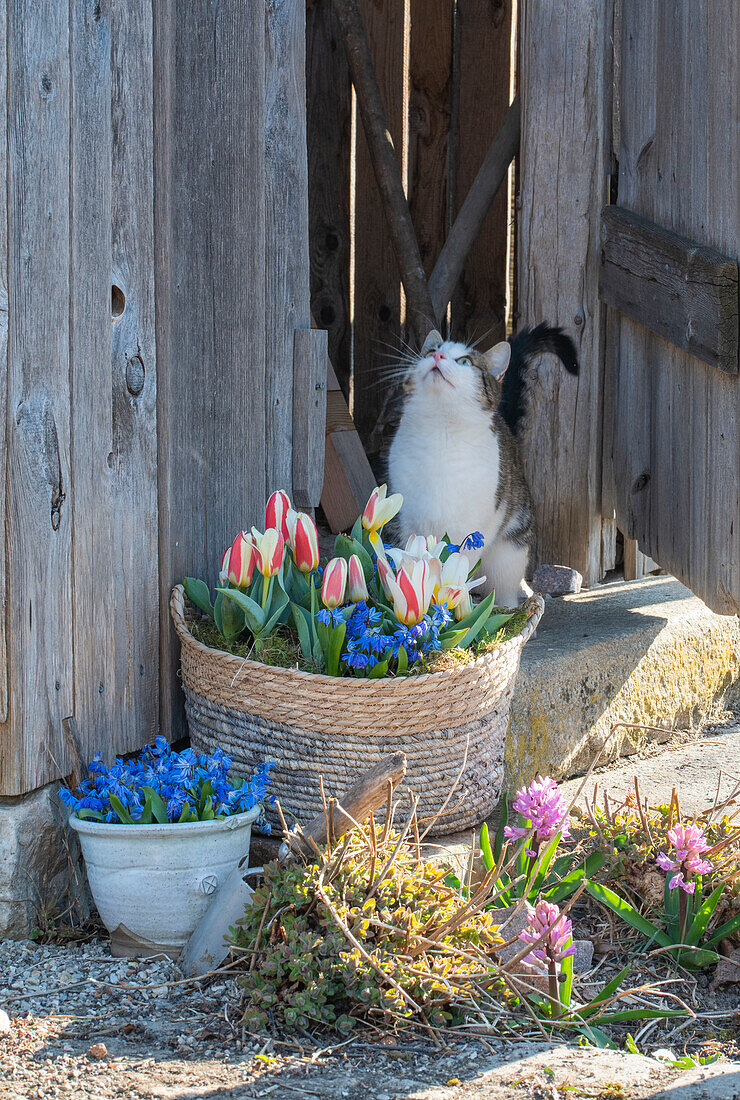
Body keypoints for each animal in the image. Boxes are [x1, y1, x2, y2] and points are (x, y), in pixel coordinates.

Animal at [387, 323, 576, 611]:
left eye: (464, 361)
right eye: (430, 351)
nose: (438, 357)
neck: (440, 435)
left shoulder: (471, 525)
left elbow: (457, 565)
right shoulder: (403, 520)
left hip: (510, 550)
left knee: (503, 586)